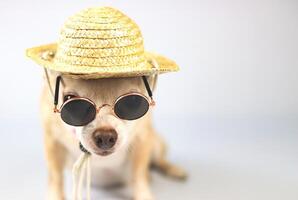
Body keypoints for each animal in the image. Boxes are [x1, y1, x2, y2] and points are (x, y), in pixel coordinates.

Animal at [40, 70, 186, 200]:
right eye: (70, 101)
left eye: (133, 101)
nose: (105, 136)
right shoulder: (53, 142)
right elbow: (56, 177)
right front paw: (55, 196)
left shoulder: (142, 140)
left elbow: (138, 175)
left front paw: (144, 195)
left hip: (156, 144)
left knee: (159, 161)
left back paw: (174, 170)